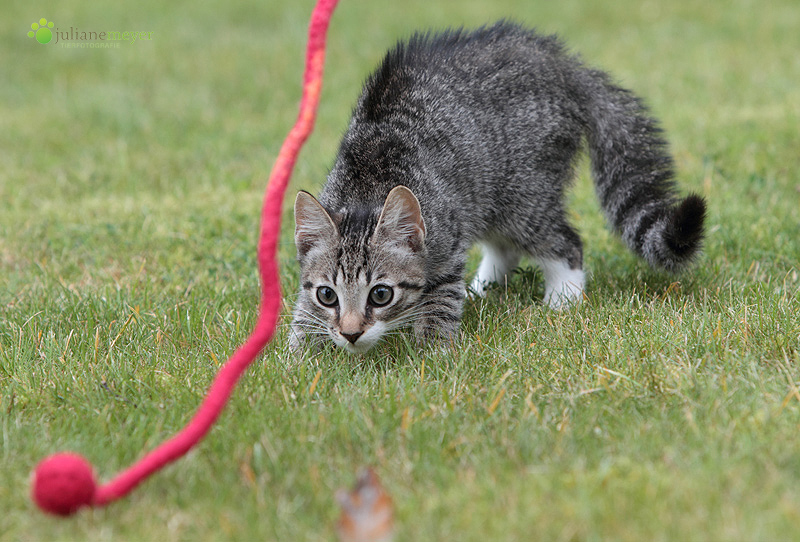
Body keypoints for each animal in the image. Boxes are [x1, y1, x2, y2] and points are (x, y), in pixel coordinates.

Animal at [290, 21, 704, 354]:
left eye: (381, 294)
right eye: (327, 296)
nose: (351, 334)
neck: (367, 185)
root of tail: (560, 63)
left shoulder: (446, 244)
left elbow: (439, 301)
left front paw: (431, 357)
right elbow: (303, 312)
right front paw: (300, 356)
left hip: (522, 194)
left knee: (564, 243)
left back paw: (562, 299)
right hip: (485, 197)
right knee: (505, 246)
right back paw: (482, 290)